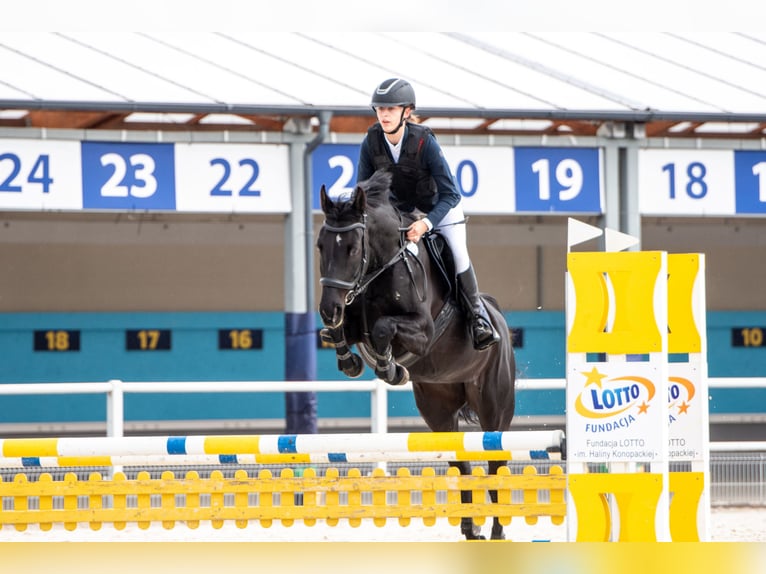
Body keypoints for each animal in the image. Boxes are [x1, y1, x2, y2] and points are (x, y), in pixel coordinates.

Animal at [316, 169, 520, 544]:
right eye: (321, 246)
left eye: (353, 249)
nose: (328, 309)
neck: (379, 270)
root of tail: (497, 317)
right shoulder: (352, 323)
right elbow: (338, 334)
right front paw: (349, 361)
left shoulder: (423, 331)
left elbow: (383, 328)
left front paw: (390, 369)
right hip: (437, 410)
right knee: (461, 461)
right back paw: (471, 528)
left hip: (493, 404)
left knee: (495, 462)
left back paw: (497, 531)